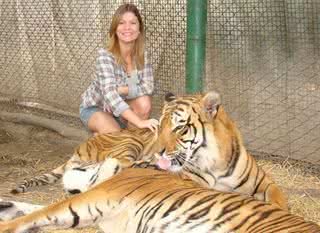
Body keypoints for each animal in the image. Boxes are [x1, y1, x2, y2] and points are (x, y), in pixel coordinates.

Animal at [156, 90, 288, 210]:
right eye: (160, 126)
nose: (157, 153)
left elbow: (278, 199)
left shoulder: (263, 181)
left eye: (180, 127)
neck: (216, 164)